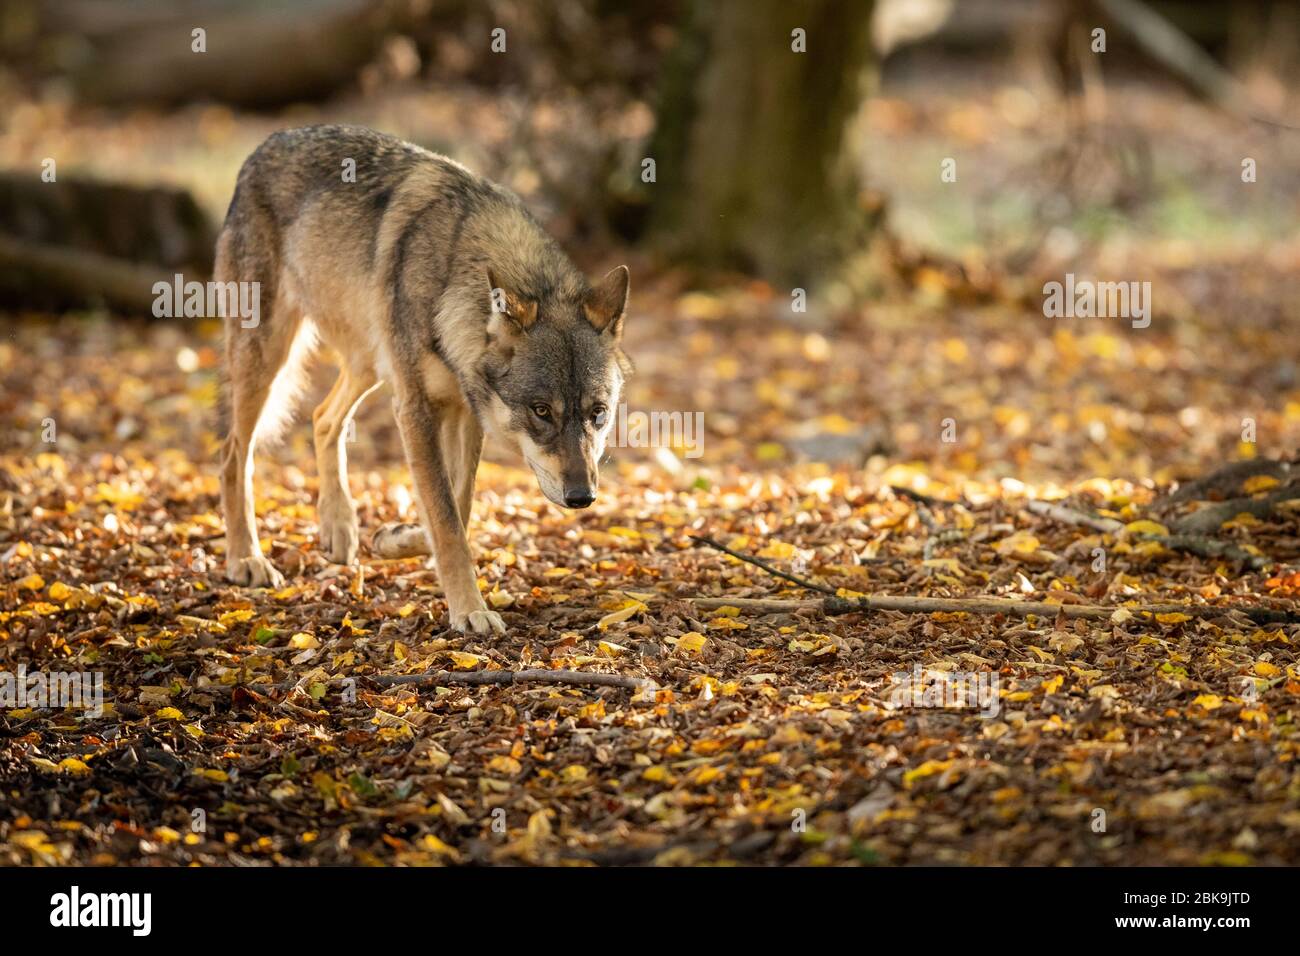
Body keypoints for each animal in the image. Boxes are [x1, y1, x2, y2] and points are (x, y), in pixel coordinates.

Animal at [215, 125, 630, 635]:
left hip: (370, 363)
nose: (582, 497)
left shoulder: (465, 411)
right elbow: (447, 516)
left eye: (598, 413)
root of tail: (265, 143)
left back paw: (338, 526)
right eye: (541, 411)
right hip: (270, 357)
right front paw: (470, 610)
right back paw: (246, 559)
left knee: (323, 417)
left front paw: (400, 538)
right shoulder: (415, 409)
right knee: (234, 455)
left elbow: (459, 504)